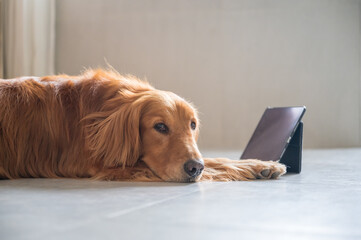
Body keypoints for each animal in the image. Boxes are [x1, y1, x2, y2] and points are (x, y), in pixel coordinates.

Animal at [0, 69, 286, 182]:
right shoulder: (109, 166)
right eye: (160, 127)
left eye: (192, 125)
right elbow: (215, 165)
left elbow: (217, 159)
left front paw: (262, 164)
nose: (194, 168)